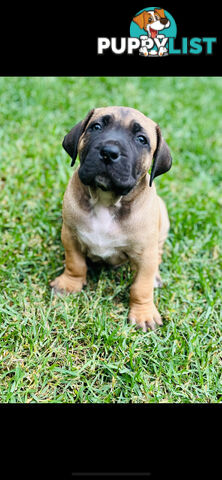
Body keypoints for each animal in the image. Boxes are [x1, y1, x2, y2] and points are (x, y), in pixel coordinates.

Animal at [51, 106, 173, 330]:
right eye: (96, 127)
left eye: (141, 139)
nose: (109, 152)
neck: (106, 200)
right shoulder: (70, 236)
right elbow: (74, 263)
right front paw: (68, 285)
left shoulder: (145, 254)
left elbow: (141, 286)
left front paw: (143, 314)